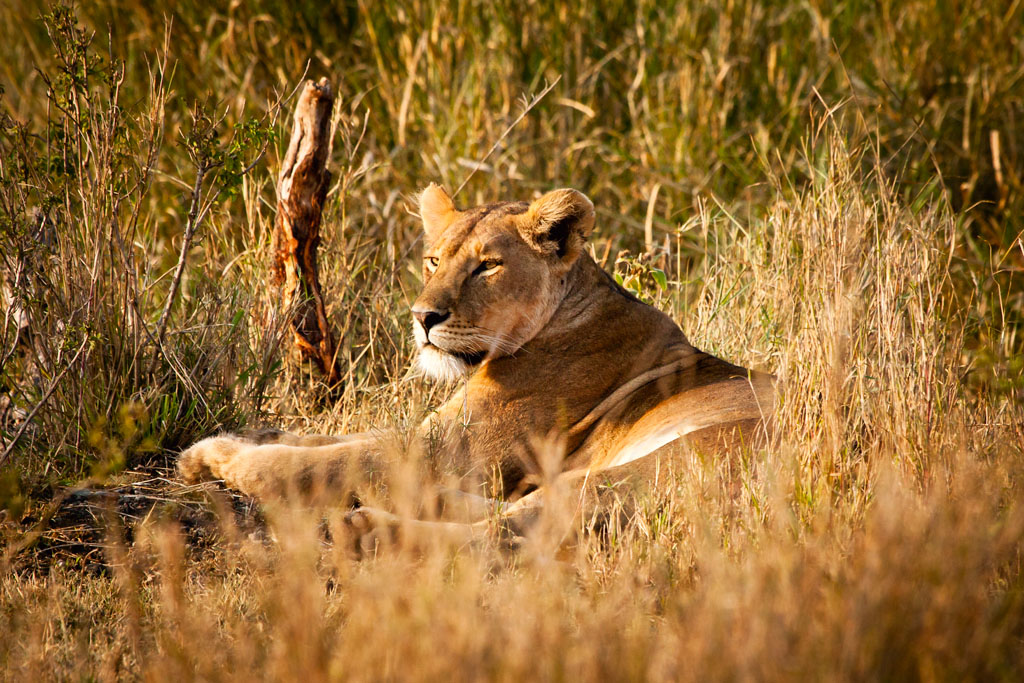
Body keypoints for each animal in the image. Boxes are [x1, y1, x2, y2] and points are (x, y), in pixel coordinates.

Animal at [178, 184, 773, 547]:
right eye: (433, 260)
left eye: (487, 266)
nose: (423, 317)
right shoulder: (428, 435)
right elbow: (325, 439)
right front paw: (239, 439)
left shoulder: (445, 451)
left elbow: (313, 462)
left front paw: (216, 459)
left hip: (655, 465)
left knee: (509, 536)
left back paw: (362, 528)